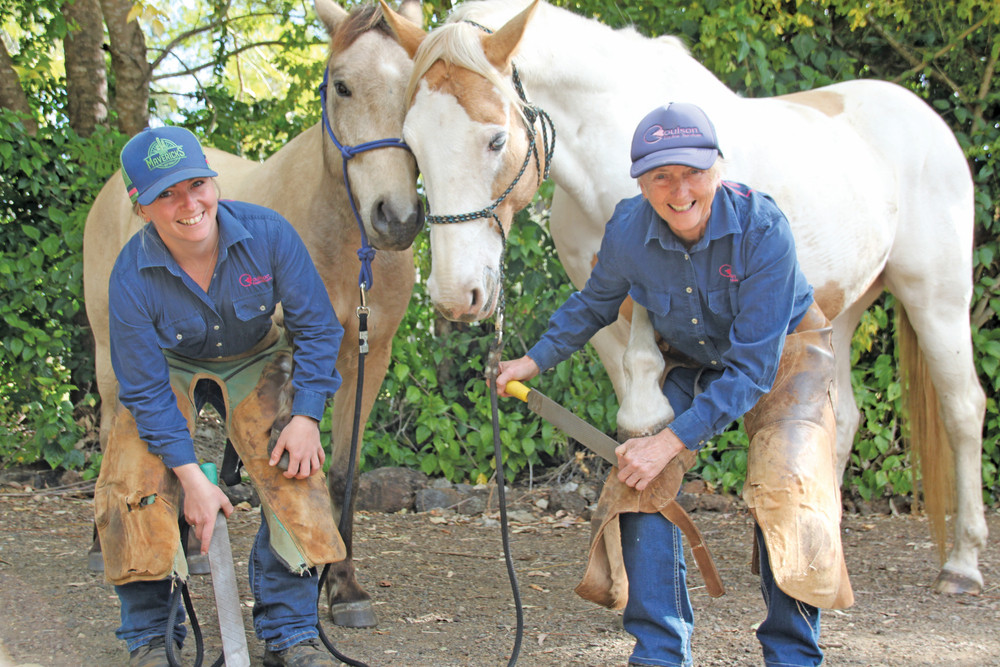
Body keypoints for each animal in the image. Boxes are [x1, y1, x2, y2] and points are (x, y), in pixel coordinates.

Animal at [86, 0, 426, 628]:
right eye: (341, 86)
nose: (395, 217)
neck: (346, 246)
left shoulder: (369, 354)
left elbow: (341, 471)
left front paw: (343, 586)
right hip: (108, 355)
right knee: (112, 437)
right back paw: (105, 545)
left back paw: (195, 549)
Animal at [380, 0, 984, 596]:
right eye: (412, 142)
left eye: (496, 139)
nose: (456, 295)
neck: (614, 142)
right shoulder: (604, 310)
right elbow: (622, 423)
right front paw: (624, 566)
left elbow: (648, 410)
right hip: (844, 309)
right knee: (841, 421)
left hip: (938, 300)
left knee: (963, 408)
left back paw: (961, 564)